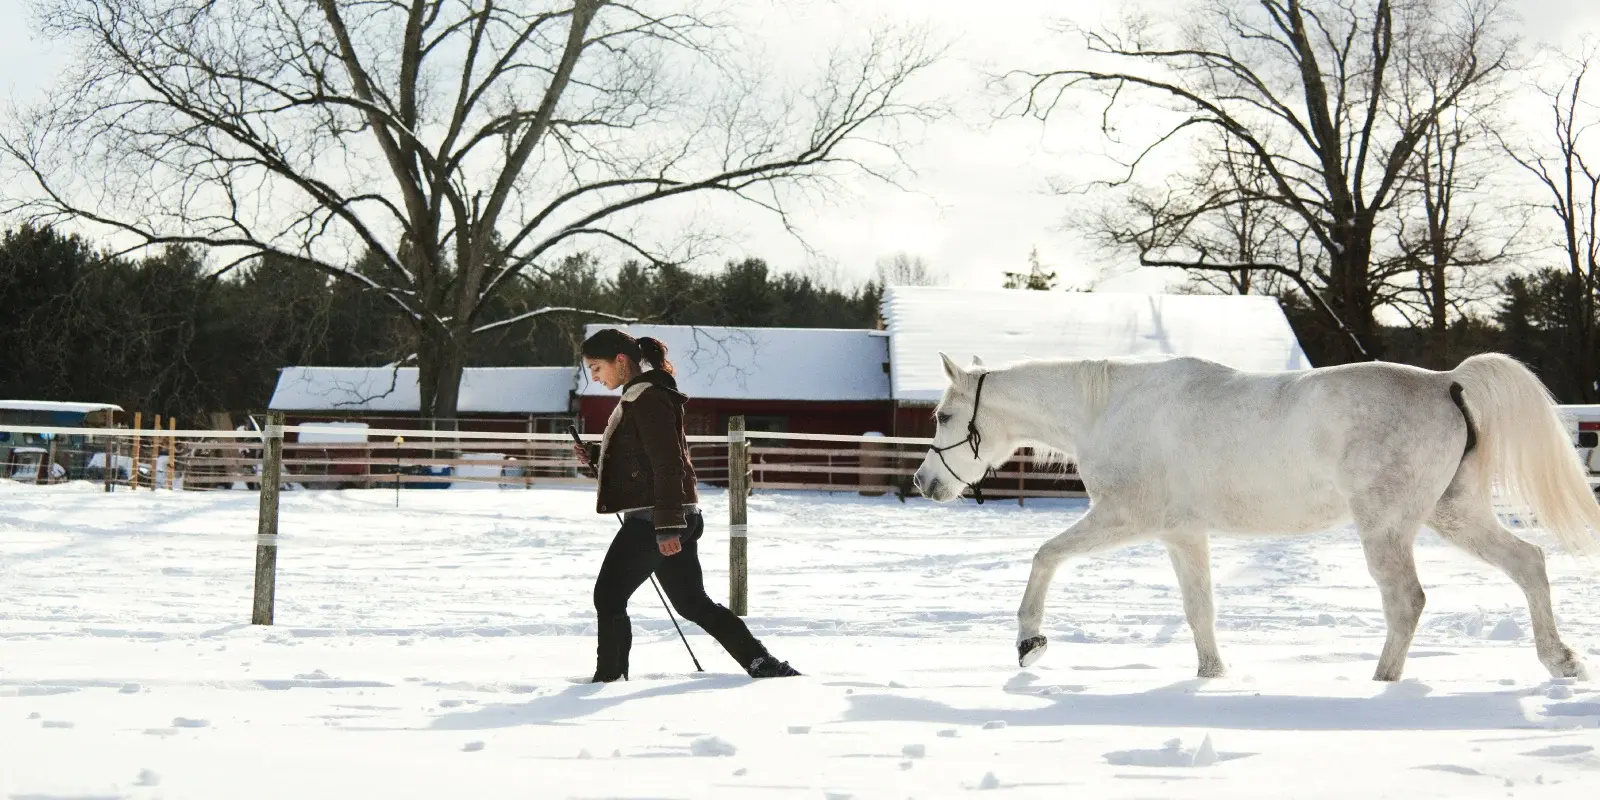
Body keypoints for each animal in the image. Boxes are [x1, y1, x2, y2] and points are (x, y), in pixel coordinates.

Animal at [915, 352, 1600, 681]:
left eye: (944, 416)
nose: (924, 484)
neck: (1109, 408)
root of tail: (1448, 381)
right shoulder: (1182, 534)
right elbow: (1200, 610)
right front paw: (1212, 675)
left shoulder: (1123, 518)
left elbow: (1045, 557)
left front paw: (1029, 643)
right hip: (1452, 515)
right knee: (1529, 564)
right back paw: (1561, 661)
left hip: (1387, 527)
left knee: (1407, 601)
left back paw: (1381, 683)